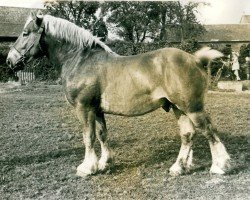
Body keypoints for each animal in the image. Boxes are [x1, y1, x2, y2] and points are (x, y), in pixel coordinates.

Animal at [5, 12, 230, 177]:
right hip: (178, 108)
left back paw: (220, 166)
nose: (9, 60)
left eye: (25, 33)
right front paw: (104, 163)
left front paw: (87, 168)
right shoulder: (97, 111)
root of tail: (195, 60)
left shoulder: (84, 108)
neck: (80, 60)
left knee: (209, 130)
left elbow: (88, 137)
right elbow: (102, 134)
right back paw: (179, 167)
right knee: (188, 134)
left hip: (193, 108)